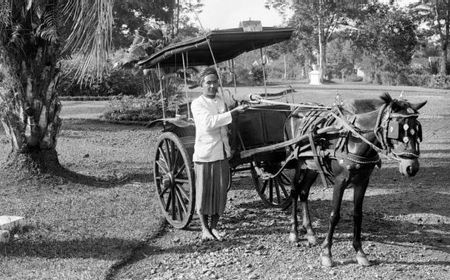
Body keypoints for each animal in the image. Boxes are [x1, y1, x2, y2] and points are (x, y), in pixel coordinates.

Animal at [286, 93, 428, 268]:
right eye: (398, 129)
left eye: (418, 129)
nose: (411, 167)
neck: (356, 139)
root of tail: (296, 110)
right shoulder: (340, 181)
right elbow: (334, 215)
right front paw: (327, 253)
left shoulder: (363, 181)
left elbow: (357, 215)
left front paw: (360, 252)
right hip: (298, 162)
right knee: (294, 190)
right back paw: (294, 232)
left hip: (312, 166)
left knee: (304, 192)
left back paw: (310, 232)